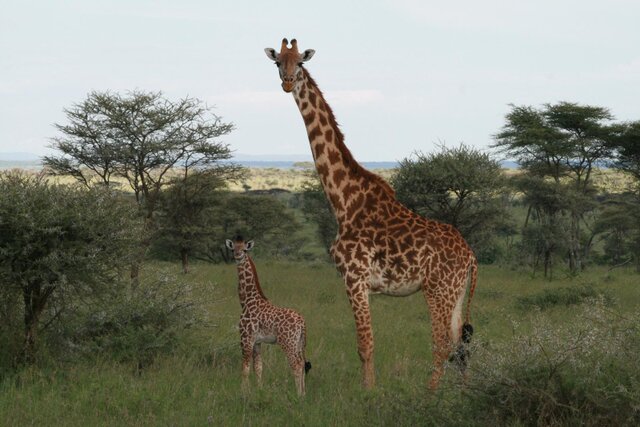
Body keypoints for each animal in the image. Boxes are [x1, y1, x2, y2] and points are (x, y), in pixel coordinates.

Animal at [226, 236, 311, 396]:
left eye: (245, 249)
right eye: (233, 248)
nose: (238, 255)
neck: (247, 300)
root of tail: (302, 321)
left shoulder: (246, 338)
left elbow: (245, 368)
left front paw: (243, 393)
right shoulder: (258, 342)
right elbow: (258, 368)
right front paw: (259, 391)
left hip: (288, 342)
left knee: (296, 365)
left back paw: (299, 396)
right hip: (299, 342)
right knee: (302, 363)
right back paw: (304, 393)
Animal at [264, 38, 477, 389]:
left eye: (301, 63)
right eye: (278, 62)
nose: (287, 82)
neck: (343, 200)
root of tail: (472, 257)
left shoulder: (355, 279)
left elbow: (364, 344)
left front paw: (368, 392)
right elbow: (367, 343)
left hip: (438, 291)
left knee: (442, 344)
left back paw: (430, 394)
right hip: (457, 294)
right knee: (460, 345)